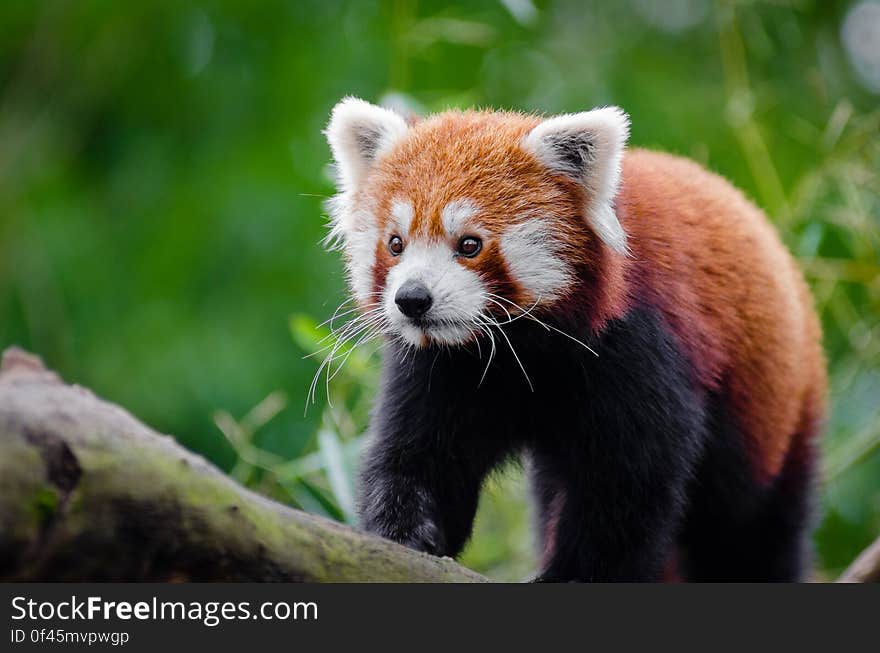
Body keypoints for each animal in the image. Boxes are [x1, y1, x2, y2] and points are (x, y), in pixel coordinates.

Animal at [324, 97, 824, 580]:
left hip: (777, 417)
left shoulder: (641, 346)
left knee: (752, 533)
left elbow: (628, 485)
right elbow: (421, 457)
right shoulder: (443, 370)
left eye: (469, 245)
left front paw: (572, 575)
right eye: (395, 244)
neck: (520, 348)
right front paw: (404, 534)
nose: (412, 299)